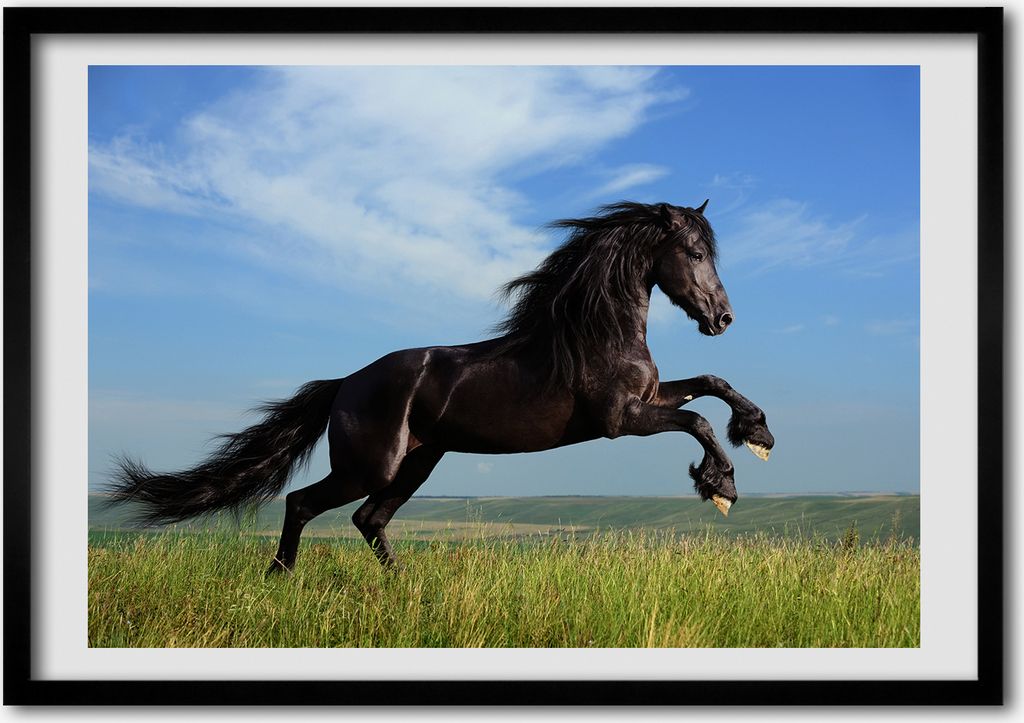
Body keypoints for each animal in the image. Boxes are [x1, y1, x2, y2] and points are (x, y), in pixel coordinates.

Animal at [108, 200, 775, 573]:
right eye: (694, 252)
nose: (722, 318)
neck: (596, 332)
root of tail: (345, 384)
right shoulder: (620, 420)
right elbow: (697, 420)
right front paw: (721, 485)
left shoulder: (648, 399)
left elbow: (711, 383)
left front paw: (758, 433)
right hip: (370, 465)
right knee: (305, 504)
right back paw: (279, 578)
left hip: (419, 462)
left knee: (369, 519)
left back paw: (403, 586)